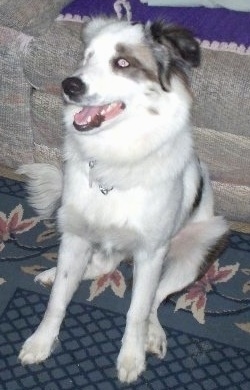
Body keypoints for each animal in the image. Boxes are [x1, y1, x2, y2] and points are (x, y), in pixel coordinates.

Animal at [18, 16, 228, 382]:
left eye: (123, 63)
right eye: (86, 57)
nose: (69, 85)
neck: (114, 160)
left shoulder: (151, 251)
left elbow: (138, 309)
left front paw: (131, 357)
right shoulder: (74, 236)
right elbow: (58, 300)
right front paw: (41, 342)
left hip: (205, 240)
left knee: (156, 296)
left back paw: (153, 335)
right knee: (104, 266)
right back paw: (53, 274)